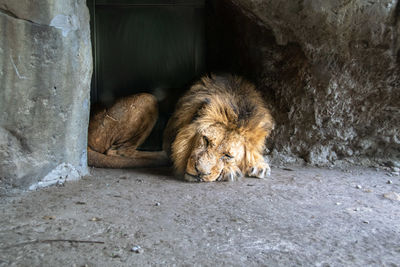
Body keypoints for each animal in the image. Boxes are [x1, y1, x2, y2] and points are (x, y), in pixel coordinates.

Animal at [88, 74, 276, 182]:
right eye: (206, 140)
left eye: (228, 155)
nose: (200, 172)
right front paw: (230, 172)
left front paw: (258, 165)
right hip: (148, 98)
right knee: (118, 152)